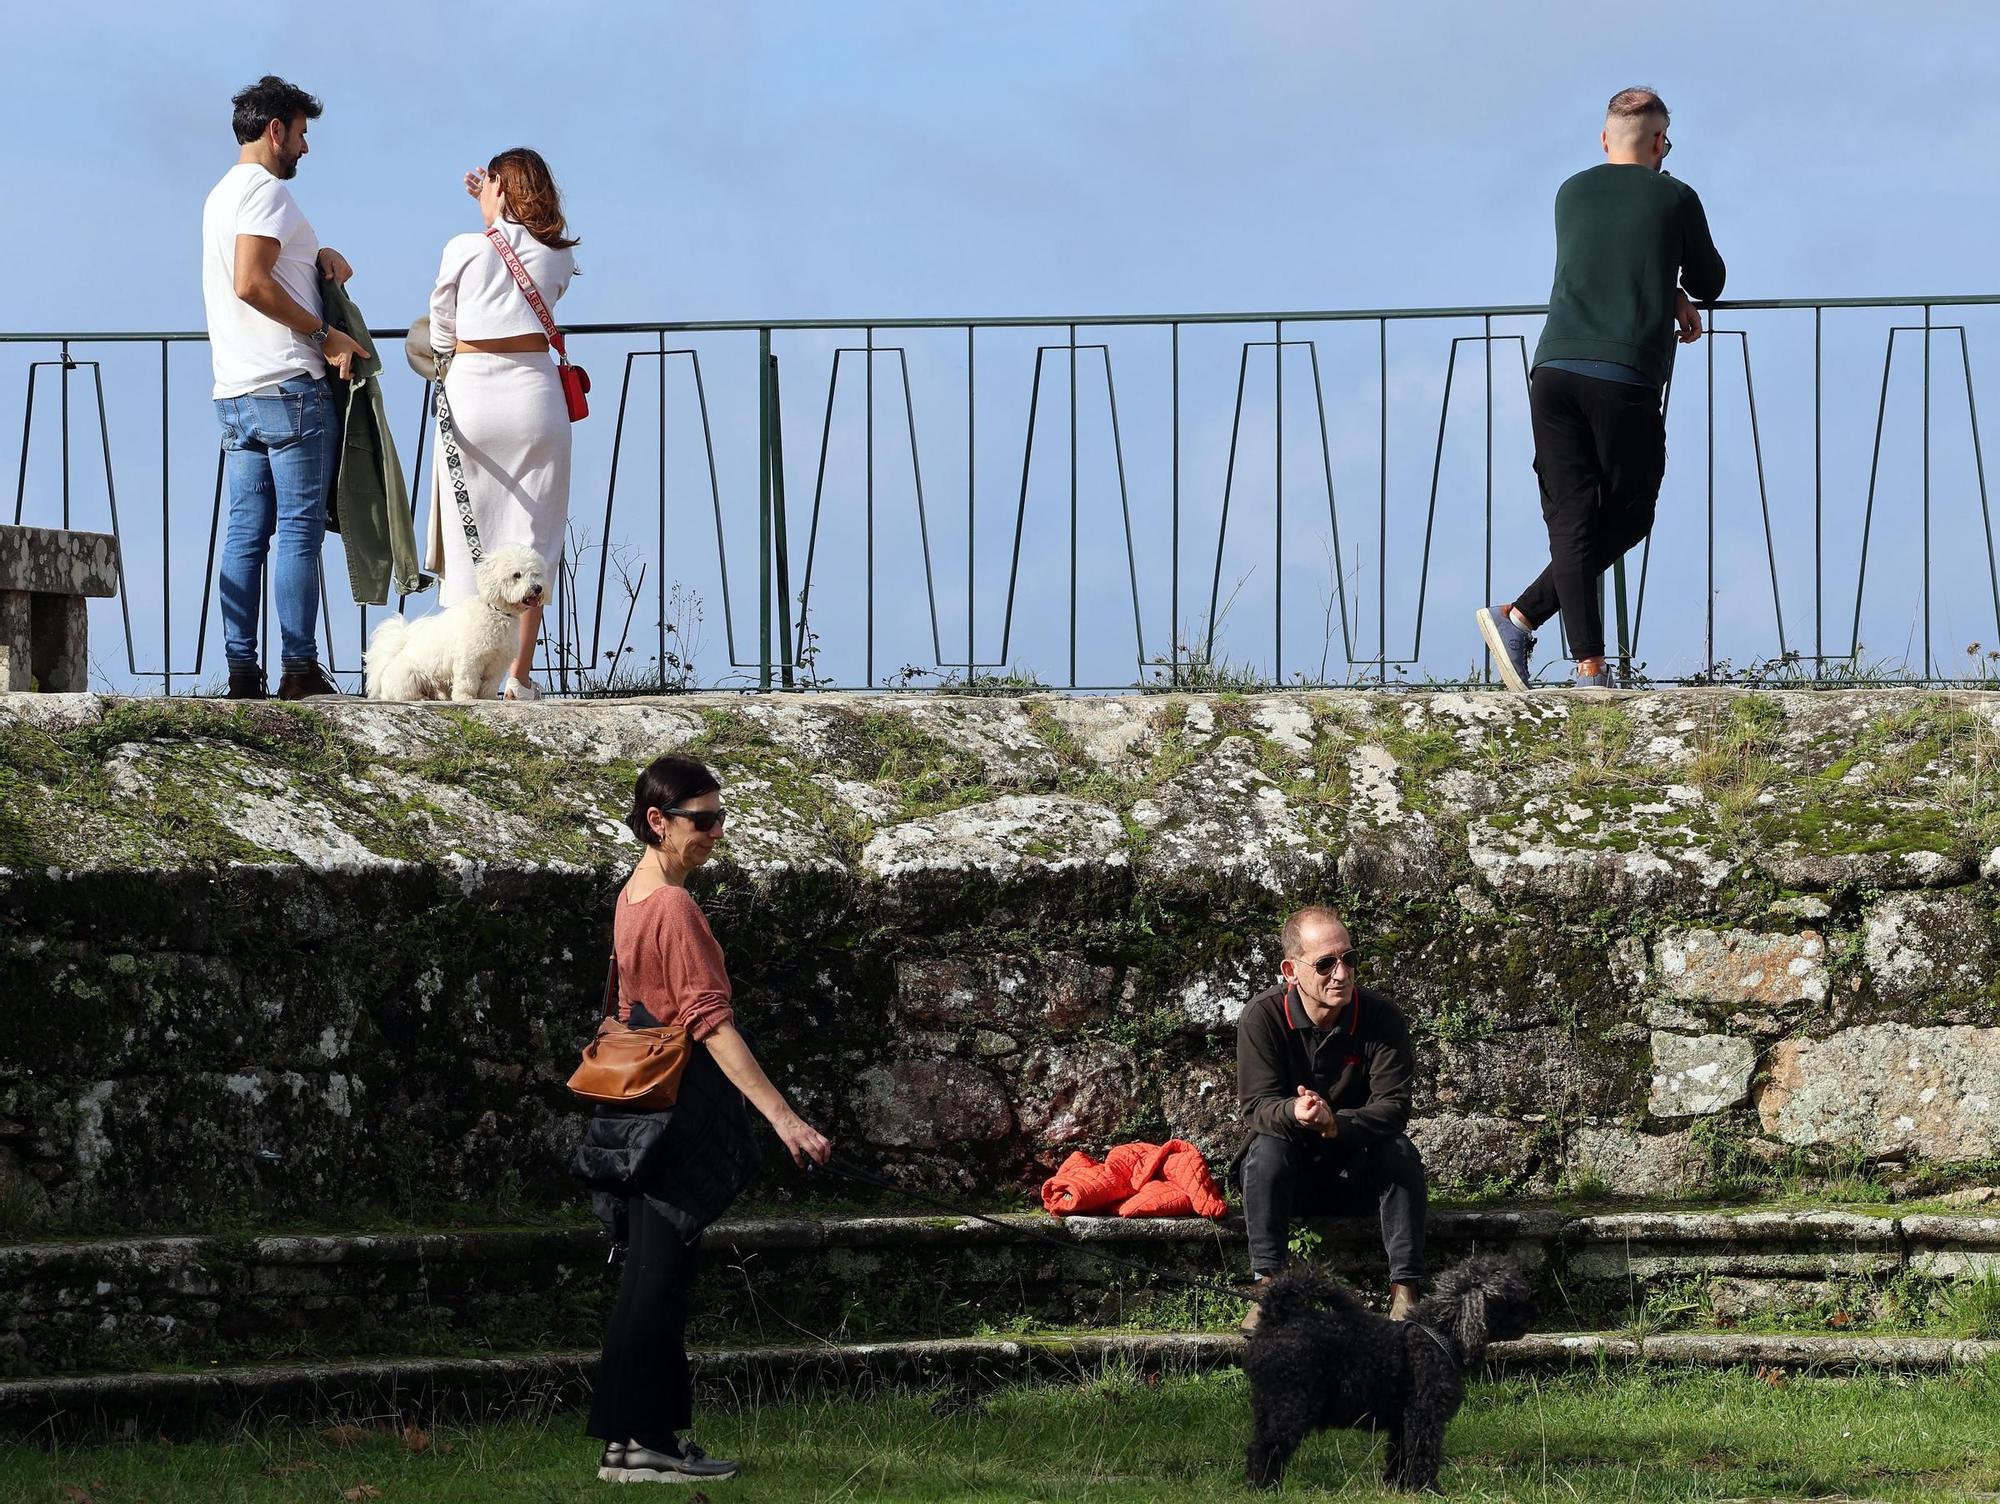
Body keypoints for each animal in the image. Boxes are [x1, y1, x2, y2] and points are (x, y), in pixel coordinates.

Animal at [366, 544, 548, 704]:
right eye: (516, 575)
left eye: (536, 574)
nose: (537, 588)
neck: (497, 612)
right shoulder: (470, 658)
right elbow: (467, 681)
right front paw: (466, 697)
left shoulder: (498, 662)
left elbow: (490, 684)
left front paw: (487, 698)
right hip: (409, 677)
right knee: (403, 694)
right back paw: (420, 698)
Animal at [1240, 1256, 1536, 1496]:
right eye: (1513, 1301)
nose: (1535, 1314)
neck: (1439, 1332)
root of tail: (1277, 1318)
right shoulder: (1424, 1416)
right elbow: (1423, 1454)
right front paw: (1429, 1490)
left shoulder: (1402, 1422)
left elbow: (1399, 1457)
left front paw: (1397, 1488)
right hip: (1291, 1405)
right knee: (1269, 1447)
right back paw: (1267, 1488)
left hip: (1265, 1404)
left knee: (1257, 1445)